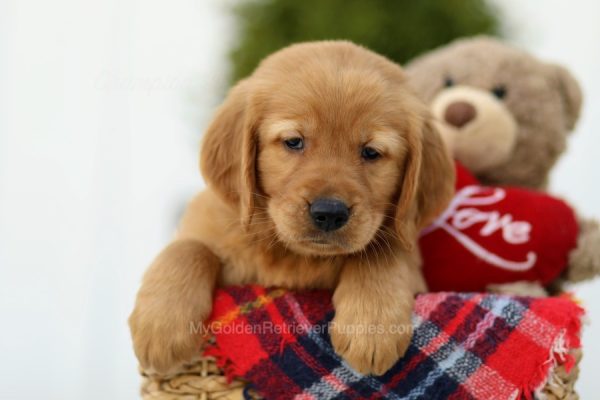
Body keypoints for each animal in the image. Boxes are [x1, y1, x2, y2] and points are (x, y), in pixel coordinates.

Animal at [127, 42, 454, 376]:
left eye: (371, 152)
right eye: (294, 141)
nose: (329, 213)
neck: (294, 257)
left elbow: (380, 252)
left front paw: (371, 329)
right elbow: (188, 248)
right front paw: (161, 328)